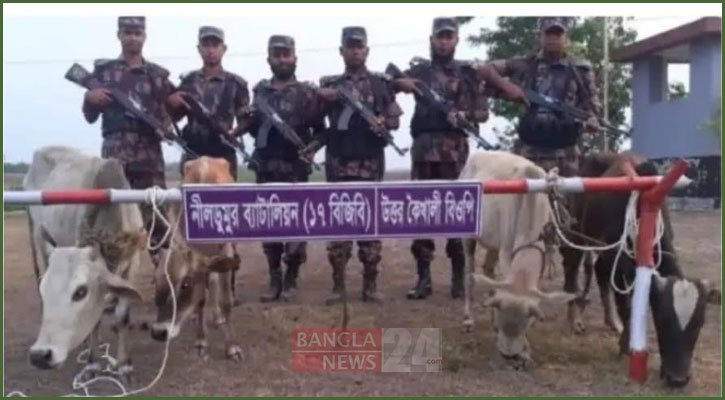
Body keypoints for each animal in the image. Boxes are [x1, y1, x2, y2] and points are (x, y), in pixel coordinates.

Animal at [24, 146, 146, 378]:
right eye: (44, 289)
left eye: (81, 292)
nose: (40, 355)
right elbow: (95, 323)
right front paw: (92, 362)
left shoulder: (132, 265)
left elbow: (121, 316)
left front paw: (123, 364)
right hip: (38, 237)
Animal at [460, 151, 576, 368]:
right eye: (502, 318)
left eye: (526, 324)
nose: (509, 355)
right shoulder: (506, 250)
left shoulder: (545, 244)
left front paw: (525, 352)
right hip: (469, 235)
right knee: (469, 272)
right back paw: (468, 318)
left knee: (488, 269)